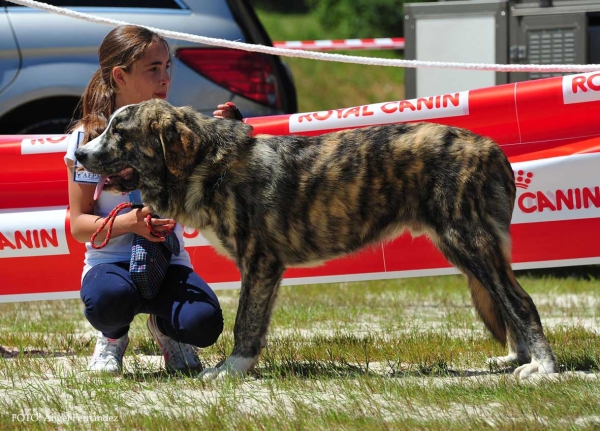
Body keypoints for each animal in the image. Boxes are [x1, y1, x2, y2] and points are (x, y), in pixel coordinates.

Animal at [76, 98, 556, 382]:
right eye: (107, 127)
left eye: (121, 132)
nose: (78, 153)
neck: (209, 164)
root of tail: (493, 149)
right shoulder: (265, 270)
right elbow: (257, 324)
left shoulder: (261, 263)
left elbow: (246, 323)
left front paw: (230, 370)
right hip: (469, 248)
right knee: (508, 302)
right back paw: (517, 360)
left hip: (468, 241)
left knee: (521, 303)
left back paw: (543, 368)